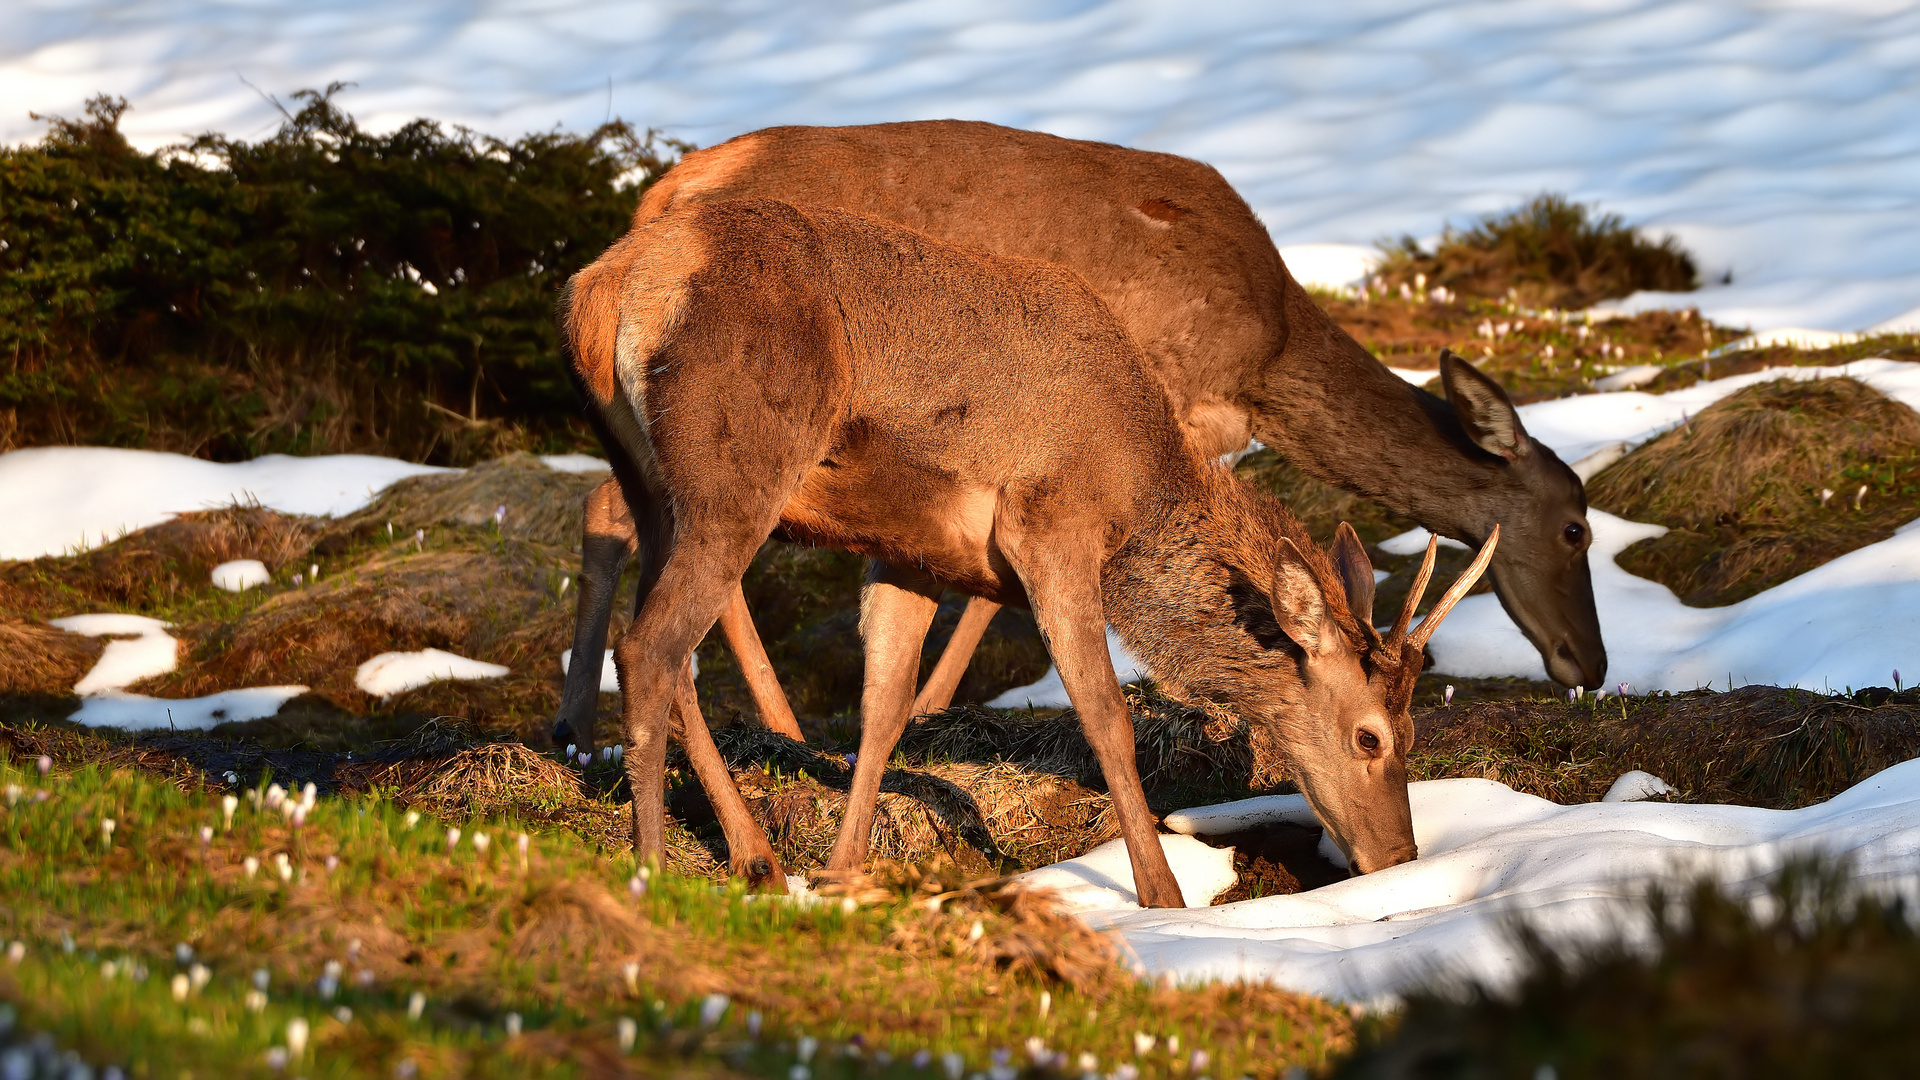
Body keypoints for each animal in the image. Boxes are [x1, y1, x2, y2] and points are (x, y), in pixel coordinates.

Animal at [556, 122, 1605, 753]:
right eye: (1575, 527)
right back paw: (768, 721)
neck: (1269, 360)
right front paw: (934, 704)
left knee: (610, 502)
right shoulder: (1161, 411)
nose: (1589, 668)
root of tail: (657, 200)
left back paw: (578, 726)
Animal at [564, 197, 1497, 903]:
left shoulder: (908, 552)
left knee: (670, 652)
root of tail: (603, 290)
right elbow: (1104, 715)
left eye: (1413, 729)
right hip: (736, 468)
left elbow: (884, 709)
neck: (1138, 484)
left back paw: (756, 856)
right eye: (1372, 737)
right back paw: (653, 866)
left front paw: (840, 872)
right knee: (651, 647)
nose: (1399, 857)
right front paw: (1161, 896)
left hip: (656, 487)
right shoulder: (1051, 526)